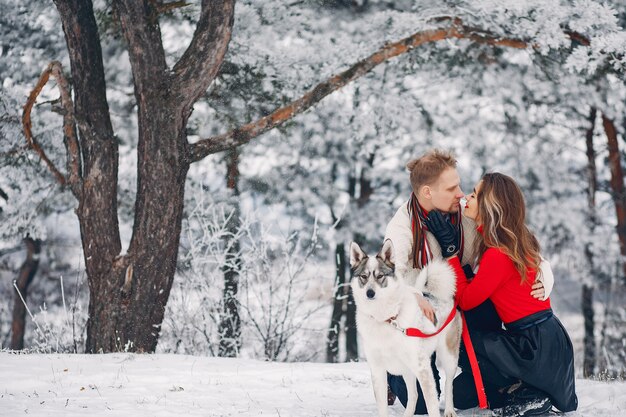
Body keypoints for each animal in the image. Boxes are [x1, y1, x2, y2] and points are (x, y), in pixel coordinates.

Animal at [348, 237, 460, 416]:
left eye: (380, 276)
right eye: (363, 276)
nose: (370, 293)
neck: (386, 318)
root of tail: (436, 295)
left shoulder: (423, 368)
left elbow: (432, 406)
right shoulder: (377, 371)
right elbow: (383, 407)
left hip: (448, 356)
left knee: (449, 384)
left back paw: (449, 410)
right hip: (406, 369)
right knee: (413, 395)